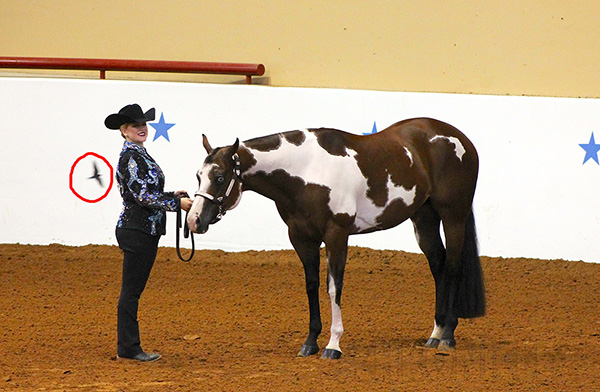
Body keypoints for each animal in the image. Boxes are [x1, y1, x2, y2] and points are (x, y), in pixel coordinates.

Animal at [190, 116, 486, 358]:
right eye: (198, 175)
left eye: (219, 177)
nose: (194, 220)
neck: (306, 171)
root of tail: (461, 139)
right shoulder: (302, 238)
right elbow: (311, 285)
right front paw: (310, 343)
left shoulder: (336, 234)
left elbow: (334, 287)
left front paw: (333, 345)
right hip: (424, 219)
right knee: (439, 268)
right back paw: (435, 334)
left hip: (453, 217)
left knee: (453, 267)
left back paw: (448, 336)